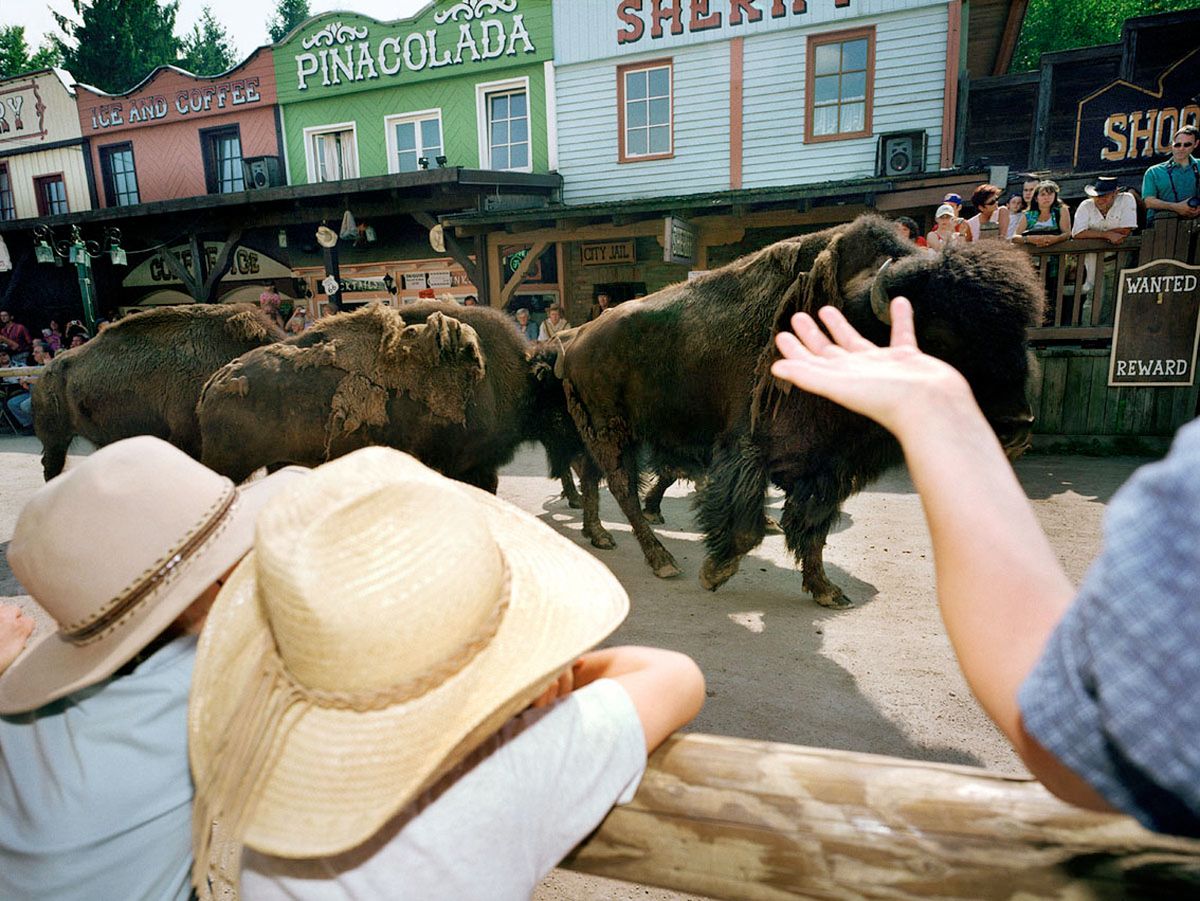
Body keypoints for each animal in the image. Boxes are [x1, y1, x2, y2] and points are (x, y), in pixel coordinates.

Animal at [556, 213, 1036, 607]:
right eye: (934, 338)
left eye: (1020, 334)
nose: (1016, 426)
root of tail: (576, 339)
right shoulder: (750, 450)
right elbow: (748, 526)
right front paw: (714, 572)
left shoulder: (828, 467)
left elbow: (814, 528)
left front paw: (827, 591)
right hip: (612, 429)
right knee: (622, 489)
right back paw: (662, 559)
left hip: (602, 432)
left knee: (594, 475)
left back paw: (599, 535)